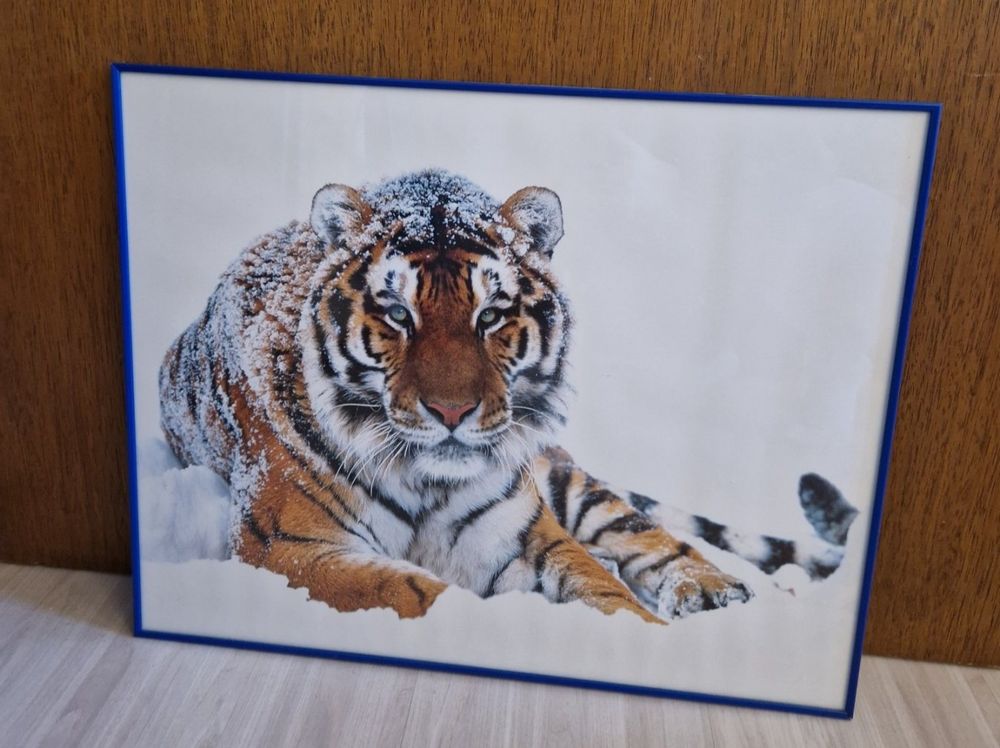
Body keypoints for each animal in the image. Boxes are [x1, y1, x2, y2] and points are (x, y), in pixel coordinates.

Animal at [159, 169, 858, 623]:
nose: (451, 412)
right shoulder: (287, 547)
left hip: (571, 485)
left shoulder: (518, 535)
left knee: (655, 537)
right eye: (397, 314)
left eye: (491, 315)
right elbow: (413, 593)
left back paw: (716, 595)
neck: (426, 482)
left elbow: (608, 594)